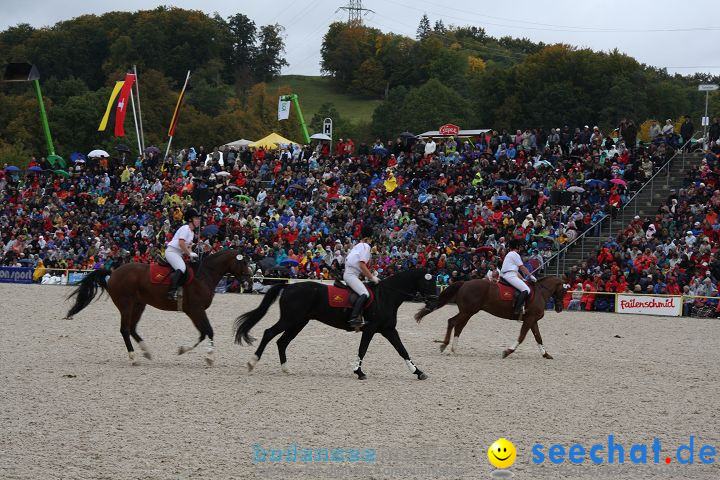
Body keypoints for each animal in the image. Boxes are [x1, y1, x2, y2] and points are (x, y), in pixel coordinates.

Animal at [65, 249, 250, 366]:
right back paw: (133, 357)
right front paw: (208, 357)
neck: (204, 275)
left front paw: (184, 350)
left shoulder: (194, 312)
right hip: (126, 305)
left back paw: (146, 351)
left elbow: (203, 333)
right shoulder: (196, 310)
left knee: (132, 329)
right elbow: (208, 331)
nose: (249, 280)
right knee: (125, 330)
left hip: (139, 305)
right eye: (244, 263)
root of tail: (114, 272)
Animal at [416, 276, 568, 358]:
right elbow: (522, 336)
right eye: (564, 291)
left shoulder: (532, 320)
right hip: (468, 311)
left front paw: (545, 354)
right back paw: (446, 345)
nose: (560, 308)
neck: (540, 292)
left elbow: (538, 337)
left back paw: (452, 347)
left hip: (468, 312)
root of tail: (465, 283)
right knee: (453, 322)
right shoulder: (530, 319)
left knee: (458, 325)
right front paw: (508, 351)